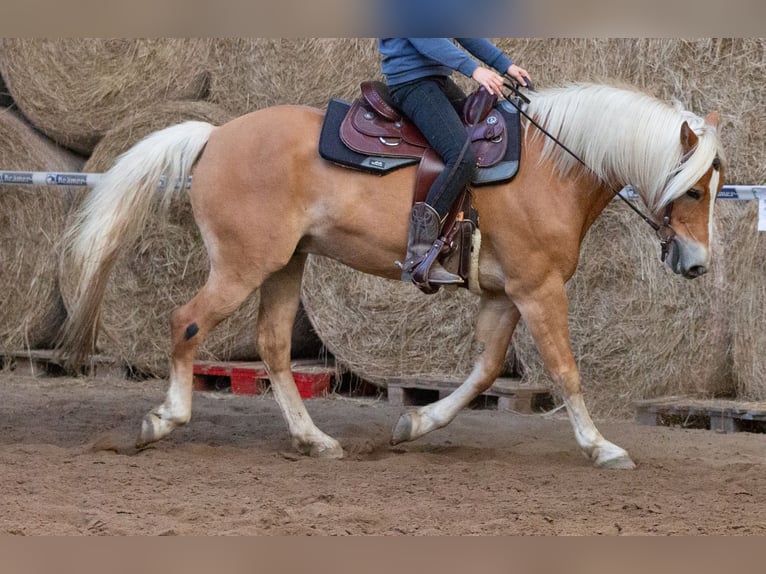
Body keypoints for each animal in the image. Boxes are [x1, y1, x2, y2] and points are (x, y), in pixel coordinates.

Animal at [58, 82, 724, 469]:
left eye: (718, 187)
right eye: (693, 188)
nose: (697, 263)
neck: (551, 166)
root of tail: (215, 134)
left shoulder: (507, 295)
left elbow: (485, 371)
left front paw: (416, 423)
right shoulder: (539, 291)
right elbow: (565, 370)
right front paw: (601, 446)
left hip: (285, 265)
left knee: (272, 347)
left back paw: (314, 441)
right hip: (244, 266)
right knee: (187, 322)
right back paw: (163, 420)